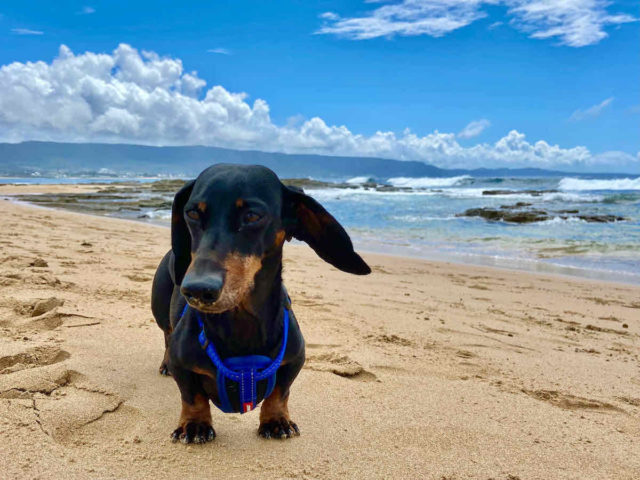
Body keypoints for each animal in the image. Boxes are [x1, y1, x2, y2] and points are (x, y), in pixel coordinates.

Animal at [151, 164, 370, 442]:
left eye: (252, 216)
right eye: (191, 213)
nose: (197, 289)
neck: (241, 322)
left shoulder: (295, 358)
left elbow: (280, 392)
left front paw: (276, 421)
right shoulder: (183, 366)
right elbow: (192, 396)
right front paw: (195, 424)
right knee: (167, 335)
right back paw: (165, 364)